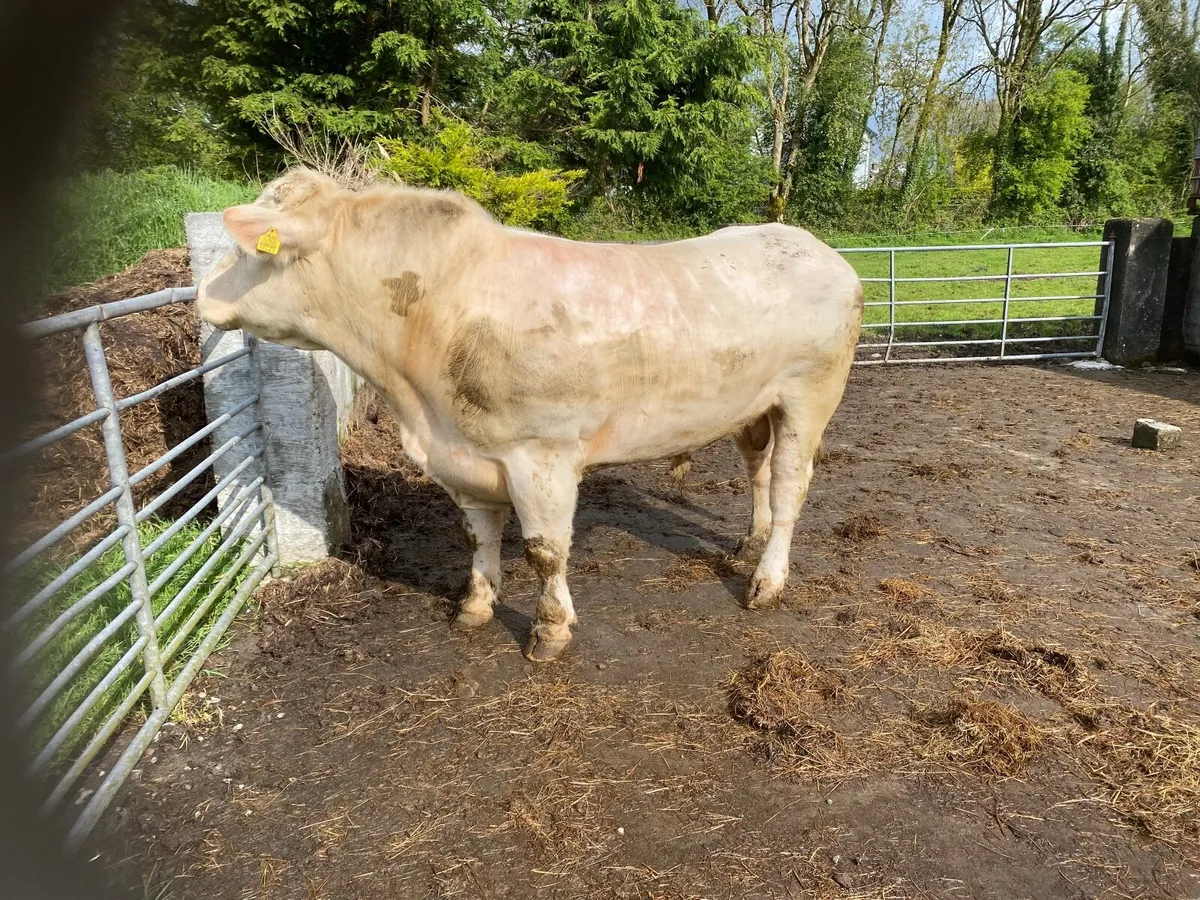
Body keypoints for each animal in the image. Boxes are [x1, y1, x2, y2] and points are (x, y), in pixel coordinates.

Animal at [195, 168, 864, 662]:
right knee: (758, 465)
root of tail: (813, 246)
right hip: (755, 403)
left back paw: (767, 579)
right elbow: (478, 535)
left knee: (790, 482)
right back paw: (748, 541)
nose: (200, 295)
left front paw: (549, 629)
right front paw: (475, 605)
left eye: (247, 252)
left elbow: (545, 550)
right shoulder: (461, 453)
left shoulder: (541, 453)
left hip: (812, 393)